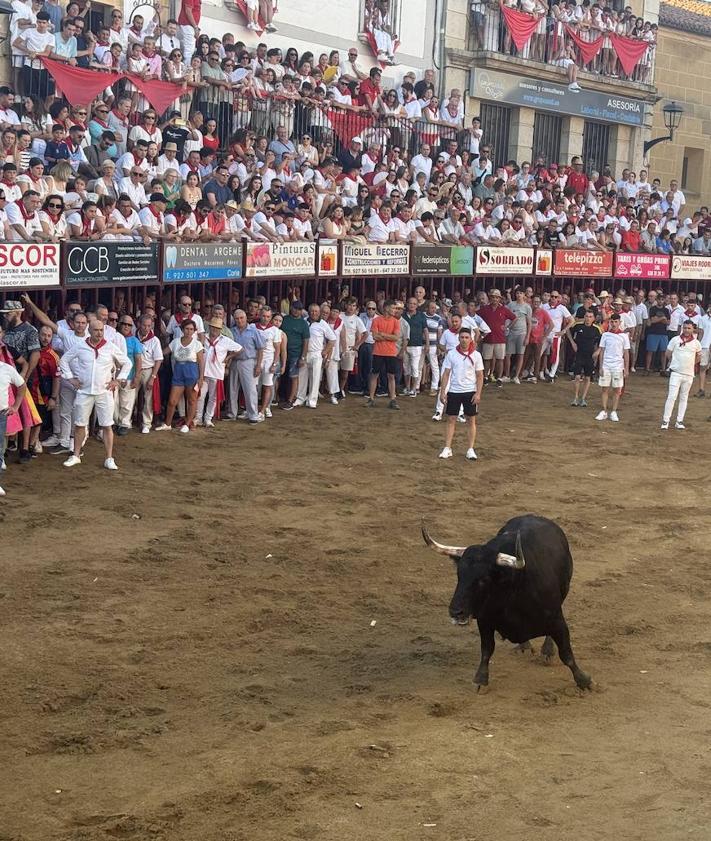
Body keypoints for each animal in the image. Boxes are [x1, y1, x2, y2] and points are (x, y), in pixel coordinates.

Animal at [422, 512, 596, 688]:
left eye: (484, 579)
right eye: (459, 575)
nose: (456, 612)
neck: (512, 586)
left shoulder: (556, 619)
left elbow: (566, 654)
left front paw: (584, 681)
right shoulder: (484, 620)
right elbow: (487, 650)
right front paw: (480, 680)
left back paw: (547, 651)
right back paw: (524, 645)